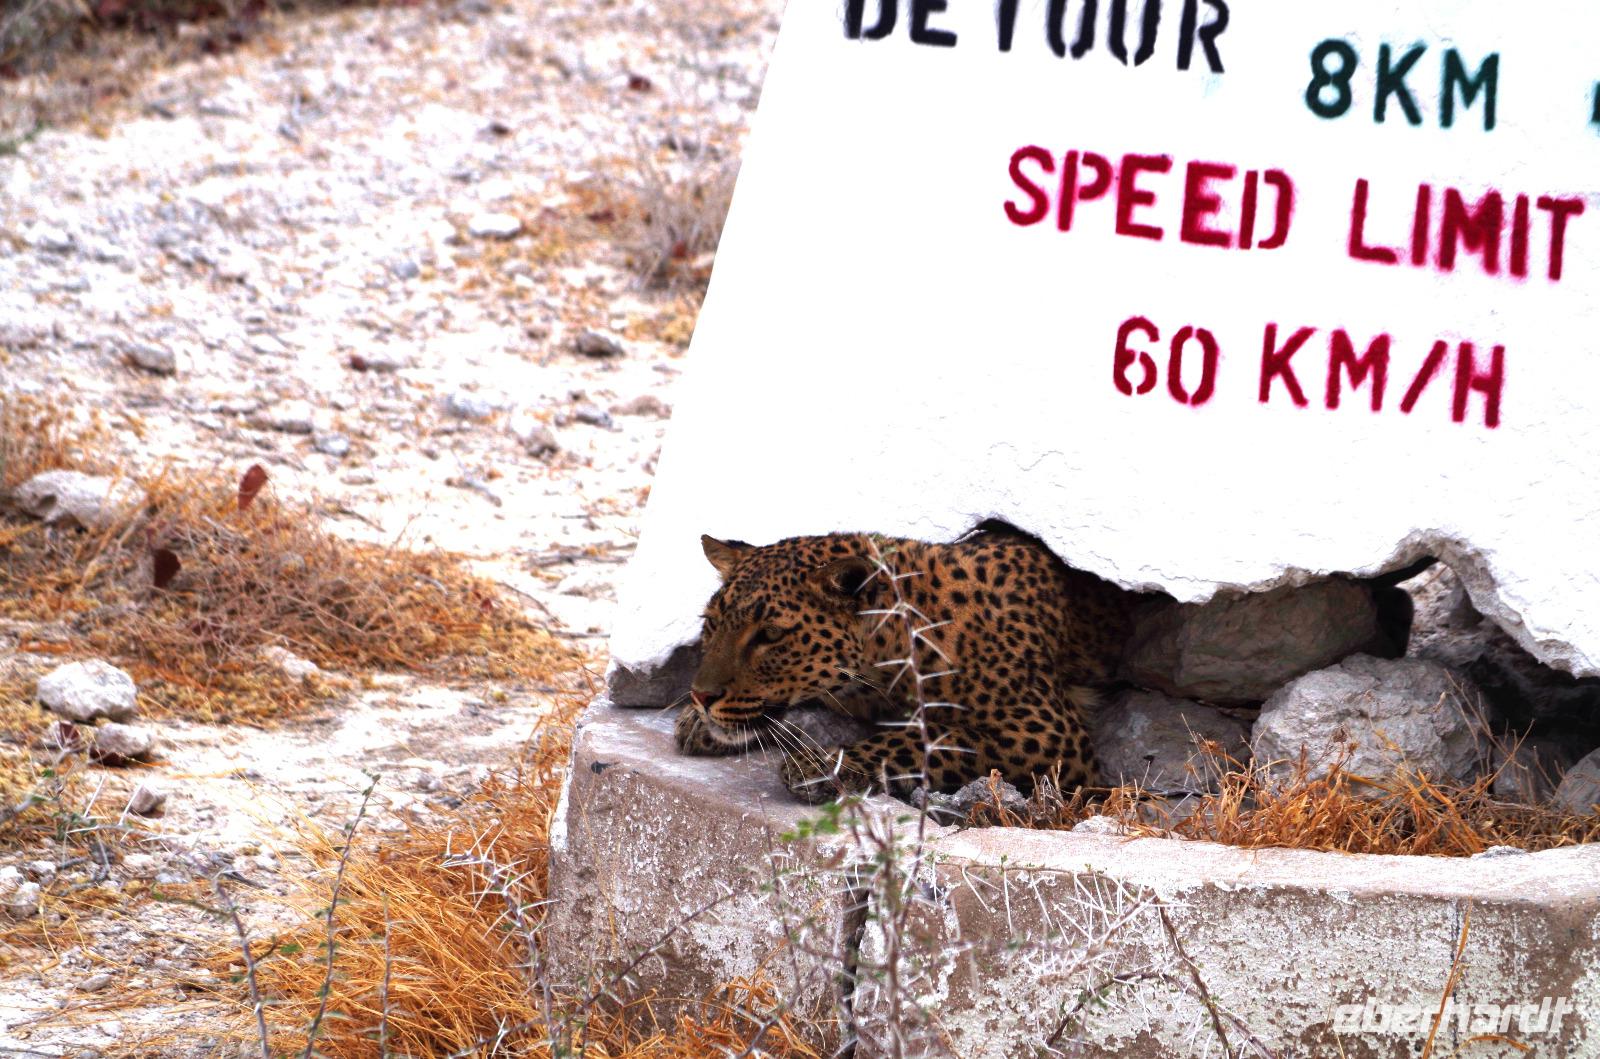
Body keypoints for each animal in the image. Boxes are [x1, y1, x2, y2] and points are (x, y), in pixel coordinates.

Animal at [673, 522, 1133, 804]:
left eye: (769, 635)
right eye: (711, 624)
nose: (700, 696)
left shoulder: (1048, 733)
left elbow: (934, 739)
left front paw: (822, 764)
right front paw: (697, 724)